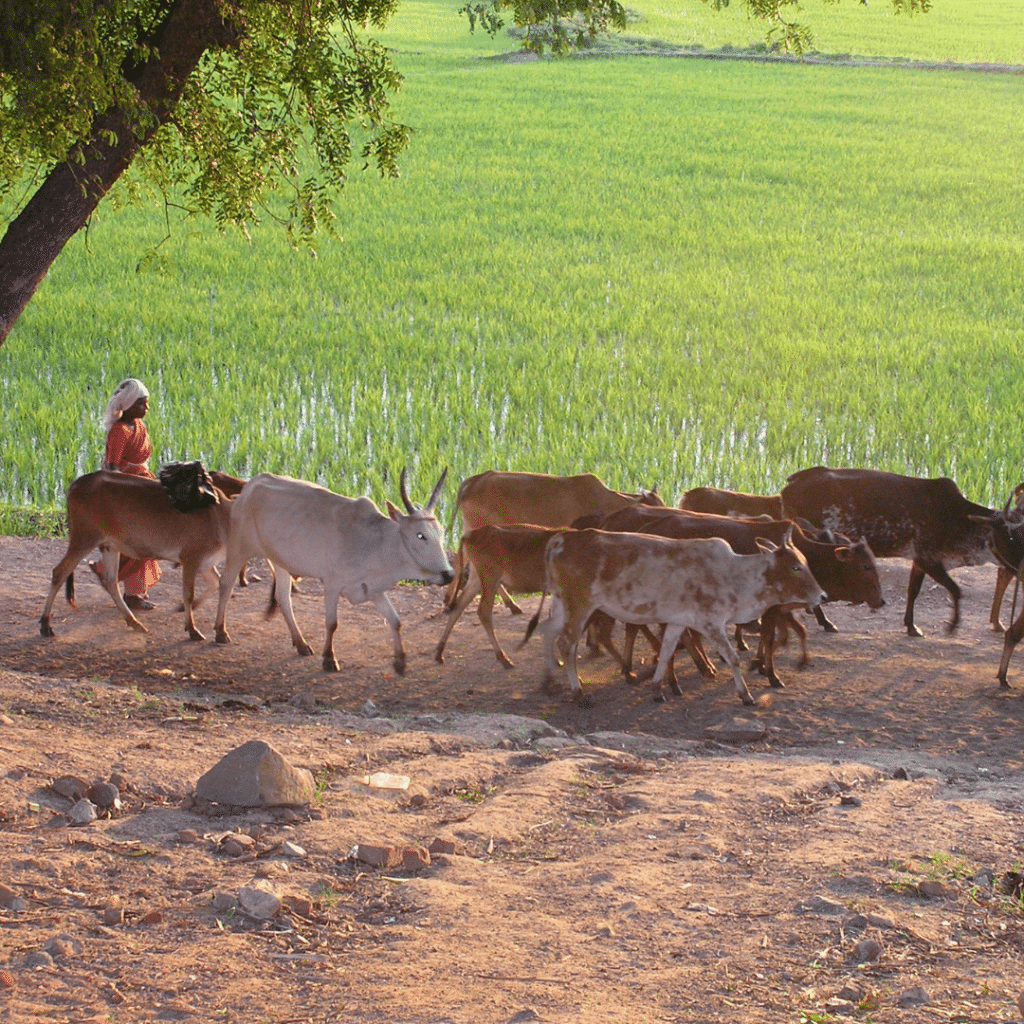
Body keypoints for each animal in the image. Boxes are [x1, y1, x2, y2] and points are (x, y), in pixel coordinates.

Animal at [214, 468, 450, 675]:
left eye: (441, 532)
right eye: (420, 535)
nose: (449, 574)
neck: (376, 542)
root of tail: (250, 486)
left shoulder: (372, 588)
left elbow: (395, 621)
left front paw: (400, 663)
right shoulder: (332, 584)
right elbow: (332, 623)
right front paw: (329, 659)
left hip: (278, 560)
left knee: (283, 597)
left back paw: (301, 643)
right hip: (239, 547)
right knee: (225, 584)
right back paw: (220, 632)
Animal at [544, 528, 823, 704]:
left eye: (805, 562)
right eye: (795, 567)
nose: (822, 595)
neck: (735, 575)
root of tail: (564, 538)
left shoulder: (678, 621)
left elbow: (667, 650)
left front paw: (658, 689)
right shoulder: (711, 623)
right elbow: (732, 658)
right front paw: (745, 695)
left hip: (561, 603)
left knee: (547, 632)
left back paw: (550, 681)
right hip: (579, 605)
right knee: (566, 643)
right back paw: (578, 693)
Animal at [778, 468, 995, 634]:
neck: (957, 517)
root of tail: (789, 486)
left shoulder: (920, 560)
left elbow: (913, 591)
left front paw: (911, 626)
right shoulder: (929, 560)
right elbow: (955, 590)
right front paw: (952, 626)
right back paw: (824, 621)